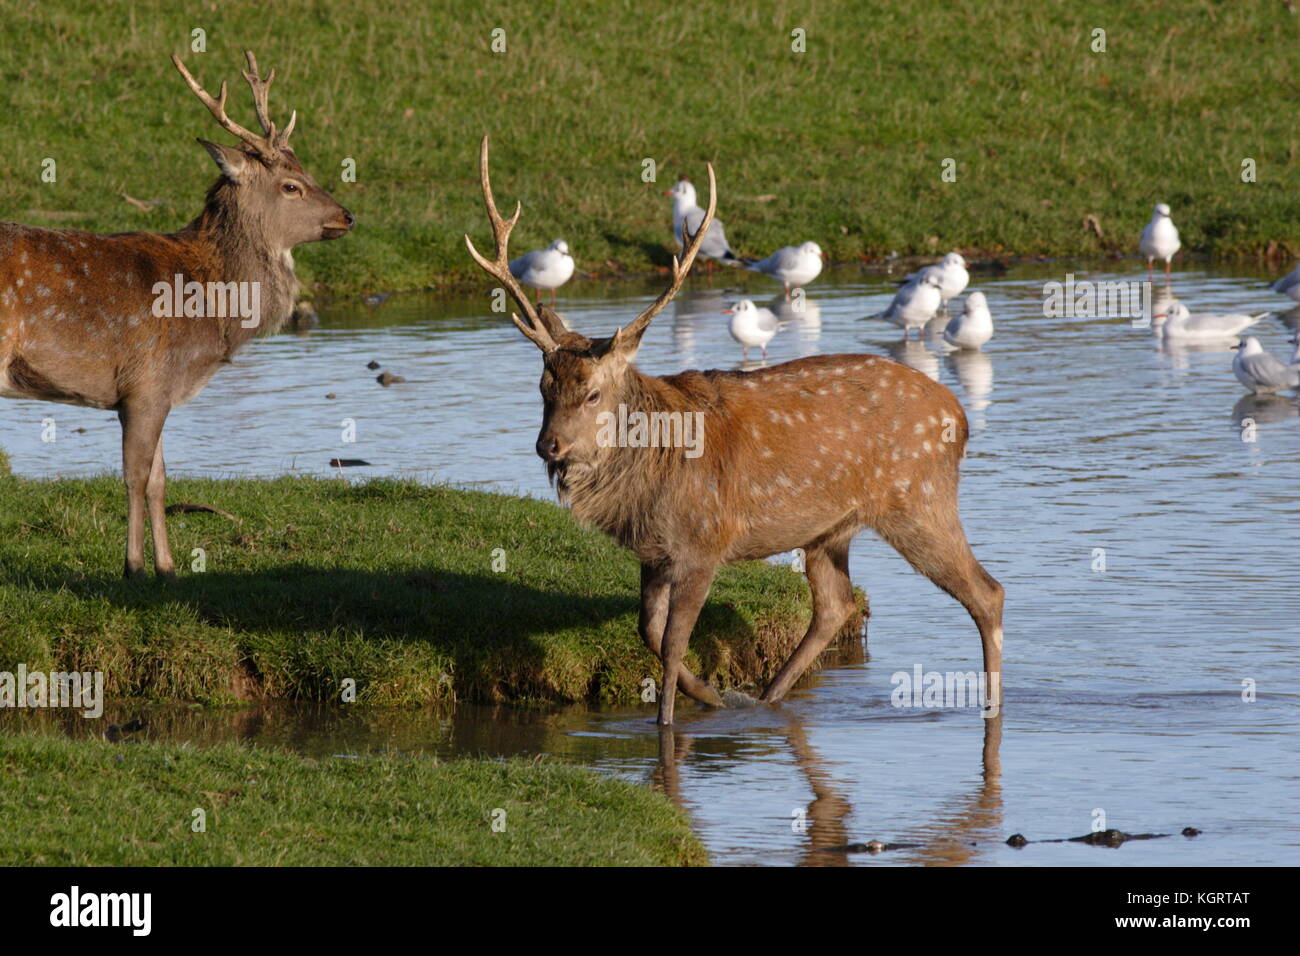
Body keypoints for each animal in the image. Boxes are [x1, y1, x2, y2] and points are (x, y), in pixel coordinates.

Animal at [0, 51, 353, 579]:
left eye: (307, 171)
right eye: (292, 185)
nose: (347, 215)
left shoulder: (157, 390)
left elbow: (160, 480)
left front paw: (166, 568)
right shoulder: (144, 382)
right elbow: (134, 477)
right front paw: (133, 567)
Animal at [465, 137, 1004, 725]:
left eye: (592, 394)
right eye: (543, 387)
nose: (549, 445)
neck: (651, 472)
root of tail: (959, 416)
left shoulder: (705, 542)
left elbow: (673, 642)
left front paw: (668, 723)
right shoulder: (655, 553)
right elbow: (648, 631)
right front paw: (711, 694)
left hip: (918, 499)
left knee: (987, 592)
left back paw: (993, 706)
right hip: (830, 529)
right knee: (835, 605)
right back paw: (765, 701)